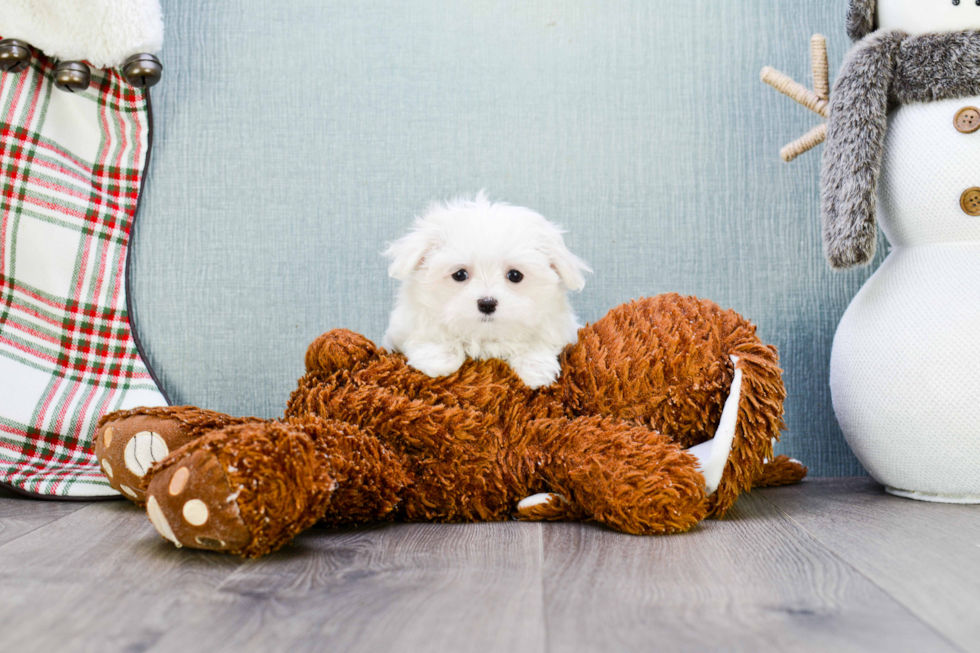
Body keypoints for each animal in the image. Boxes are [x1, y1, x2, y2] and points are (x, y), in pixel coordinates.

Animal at [384, 192, 588, 388]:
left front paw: (535, 368)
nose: (487, 304)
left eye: (515, 275)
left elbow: (539, 342)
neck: (484, 337)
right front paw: (438, 358)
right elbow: (429, 334)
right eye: (459, 274)